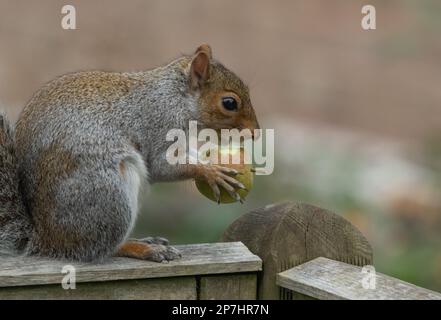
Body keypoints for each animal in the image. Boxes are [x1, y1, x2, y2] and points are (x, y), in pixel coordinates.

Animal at [0, 43, 258, 262]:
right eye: (229, 103)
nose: (256, 132)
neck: (176, 98)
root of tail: (45, 239)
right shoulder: (159, 125)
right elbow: (162, 167)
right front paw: (212, 173)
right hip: (108, 194)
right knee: (102, 248)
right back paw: (143, 249)